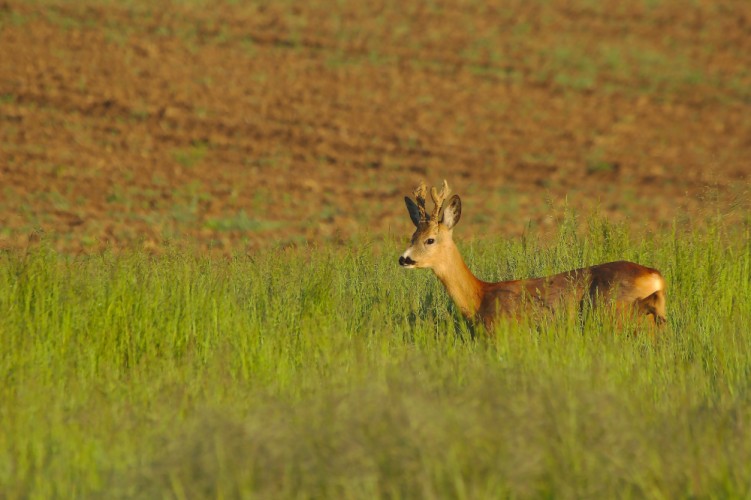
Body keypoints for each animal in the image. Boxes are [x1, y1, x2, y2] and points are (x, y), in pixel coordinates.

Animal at [400, 181, 668, 332]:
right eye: (412, 236)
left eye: (430, 239)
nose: (403, 259)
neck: (479, 297)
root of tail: (654, 275)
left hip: (615, 313)